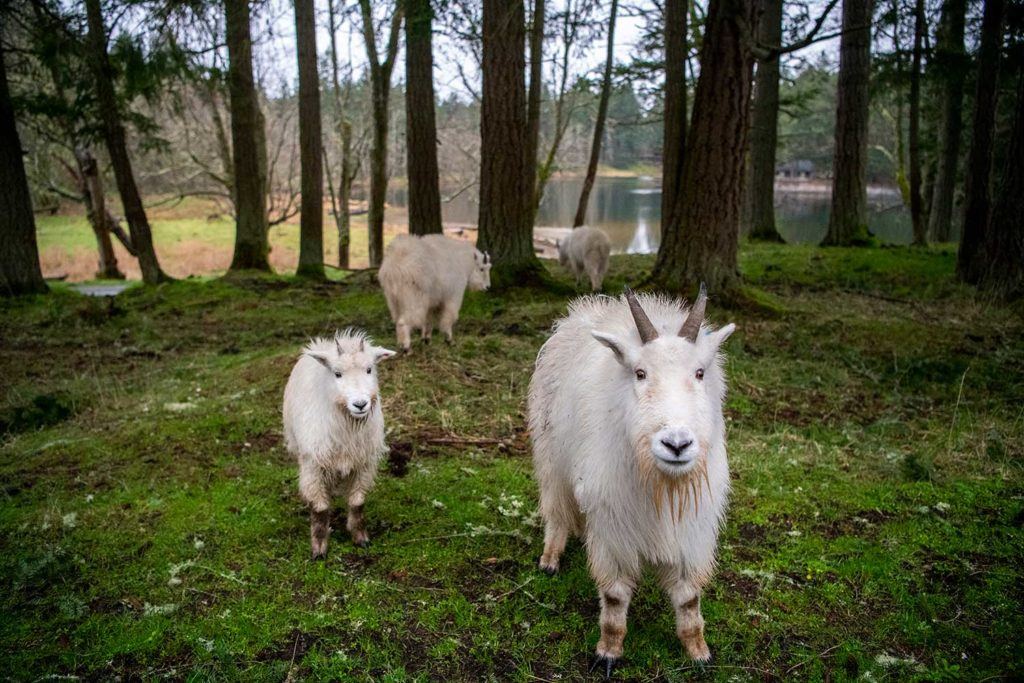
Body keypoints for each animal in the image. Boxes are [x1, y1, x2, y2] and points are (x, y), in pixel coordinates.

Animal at [284, 327, 395, 557]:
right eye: (337, 373)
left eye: (369, 369)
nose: (360, 404)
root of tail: (321, 344)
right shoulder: (313, 463)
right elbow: (319, 509)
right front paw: (319, 548)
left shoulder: (363, 463)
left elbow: (357, 503)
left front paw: (360, 537)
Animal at [528, 286, 737, 675]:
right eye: (640, 373)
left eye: (700, 372)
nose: (676, 444)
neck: (661, 483)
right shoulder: (614, 529)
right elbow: (614, 595)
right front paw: (608, 652)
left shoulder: (691, 529)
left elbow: (688, 597)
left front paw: (698, 651)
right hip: (550, 454)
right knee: (556, 507)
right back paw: (551, 556)